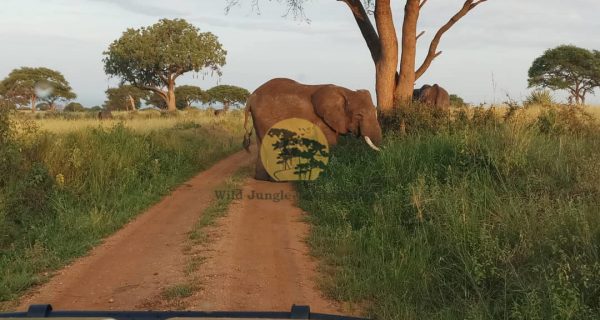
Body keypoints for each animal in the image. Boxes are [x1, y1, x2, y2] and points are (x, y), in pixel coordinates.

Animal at [241, 77, 382, 180]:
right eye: (359, 115)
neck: (346, 92)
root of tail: (251, 97)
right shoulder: (321, 120)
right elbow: (330, 143)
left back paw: (263, 179)